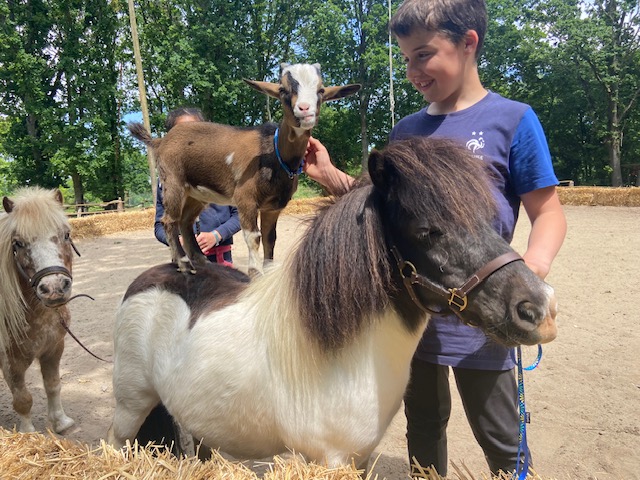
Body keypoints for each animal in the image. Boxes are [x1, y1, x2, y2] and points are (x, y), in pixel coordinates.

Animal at [0, 187, 76, 432]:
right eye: (17, 243)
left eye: (66, 235)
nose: (53, 288)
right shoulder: (11, 363)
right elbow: (23, 399)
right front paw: (28, 433)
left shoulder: (54, 349)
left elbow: (53, 385)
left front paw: (60, 421)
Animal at [107, 138, 556, 468]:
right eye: (427, 231)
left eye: (487, 217)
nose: (539, 309)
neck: (346, 352)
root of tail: (147, 282)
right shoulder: (329, 460)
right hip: (130, 408)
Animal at [130, 62, 360, 274]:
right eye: (283, 90)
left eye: (320, 90)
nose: (305, 110)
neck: (273, 152)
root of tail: (160, 141)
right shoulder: (246, 198)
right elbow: (253, 237)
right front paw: (255, 272)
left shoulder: (272, 206)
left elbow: (270, 238)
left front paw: (267, 271)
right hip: (173, 182)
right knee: (169, 221)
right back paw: (185, 264)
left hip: (196, 193)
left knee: (185, 222)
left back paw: (202, 262)